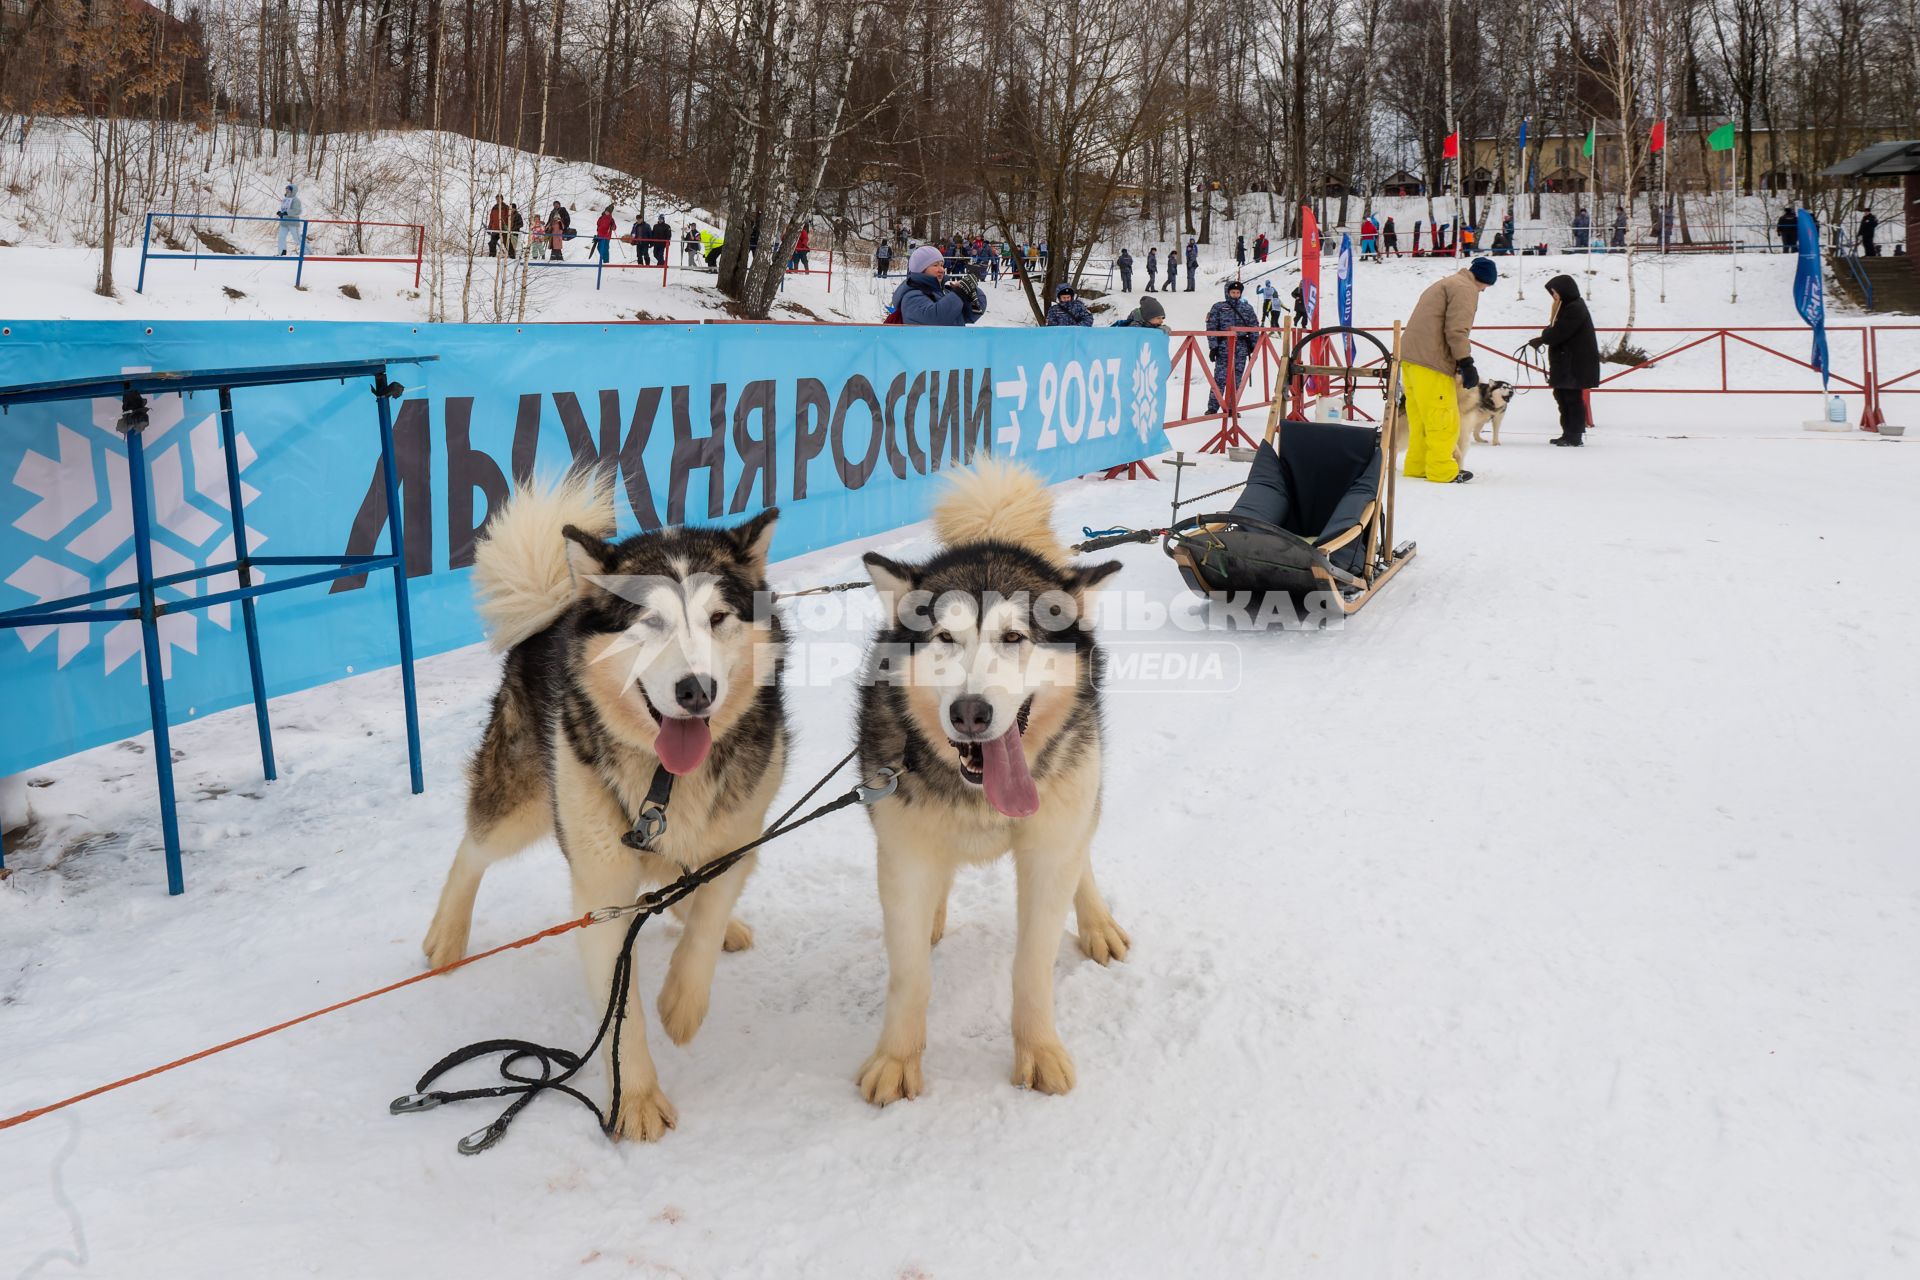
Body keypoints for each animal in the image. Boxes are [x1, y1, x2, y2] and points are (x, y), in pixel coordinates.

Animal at [422, 475, 787, 1143]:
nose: (697, 690)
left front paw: (682, 1002)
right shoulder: (600, 892)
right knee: (473, 849)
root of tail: (559, 607)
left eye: (718, 618)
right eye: (651, 622)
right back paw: (448, 933)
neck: (667, 782)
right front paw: (637, 1099)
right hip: (524, 800)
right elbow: (623, 1015)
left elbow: (708, 915)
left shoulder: (739, 837)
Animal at [852, 466, 1121, 1105]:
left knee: (1083, 857)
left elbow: (1032, 966)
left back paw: (1097, 920)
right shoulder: (903, 855)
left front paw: (1038, 1050)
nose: (970, 712)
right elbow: (908, 975)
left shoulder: (1049, 851)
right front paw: (897, 1057)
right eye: (945, 639)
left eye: (1015, 638)